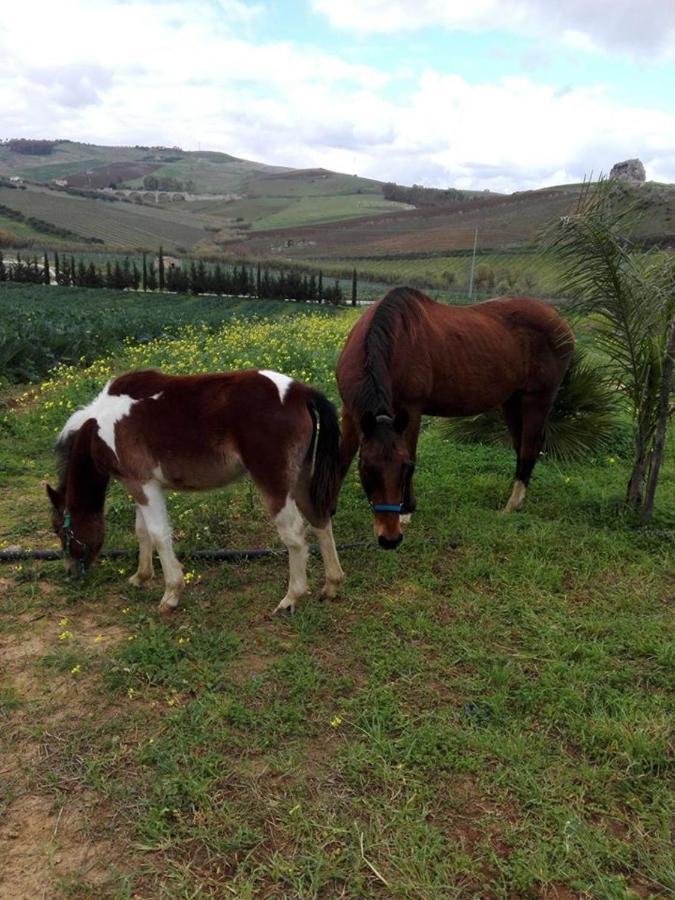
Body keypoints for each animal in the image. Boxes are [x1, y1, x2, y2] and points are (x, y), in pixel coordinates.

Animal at [47, 370, 346, 616]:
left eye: (60, 530)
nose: (71, 572)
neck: (102, 427)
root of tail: (299, 391)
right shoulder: (137, 485)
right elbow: (142, 532)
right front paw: (141, 576)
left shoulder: (144, 485)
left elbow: (158, 535)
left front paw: (171, 594)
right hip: (301, 478)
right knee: (319, 518)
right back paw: (331, 585)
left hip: (275, 485)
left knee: (295, 535)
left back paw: (291, 598)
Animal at [338, 286, 576, 548]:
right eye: (367, 469)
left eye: (404, 468)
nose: (390, 538)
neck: (393, 339)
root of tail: (558, 318)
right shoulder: (350, 413)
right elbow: (341, 458)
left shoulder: (411, 409)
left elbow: (412, 452)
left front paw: (407, 510)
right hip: (512, 401)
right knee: (522, 446)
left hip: (537, 399)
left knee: (529, 447)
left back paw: (512, 504)